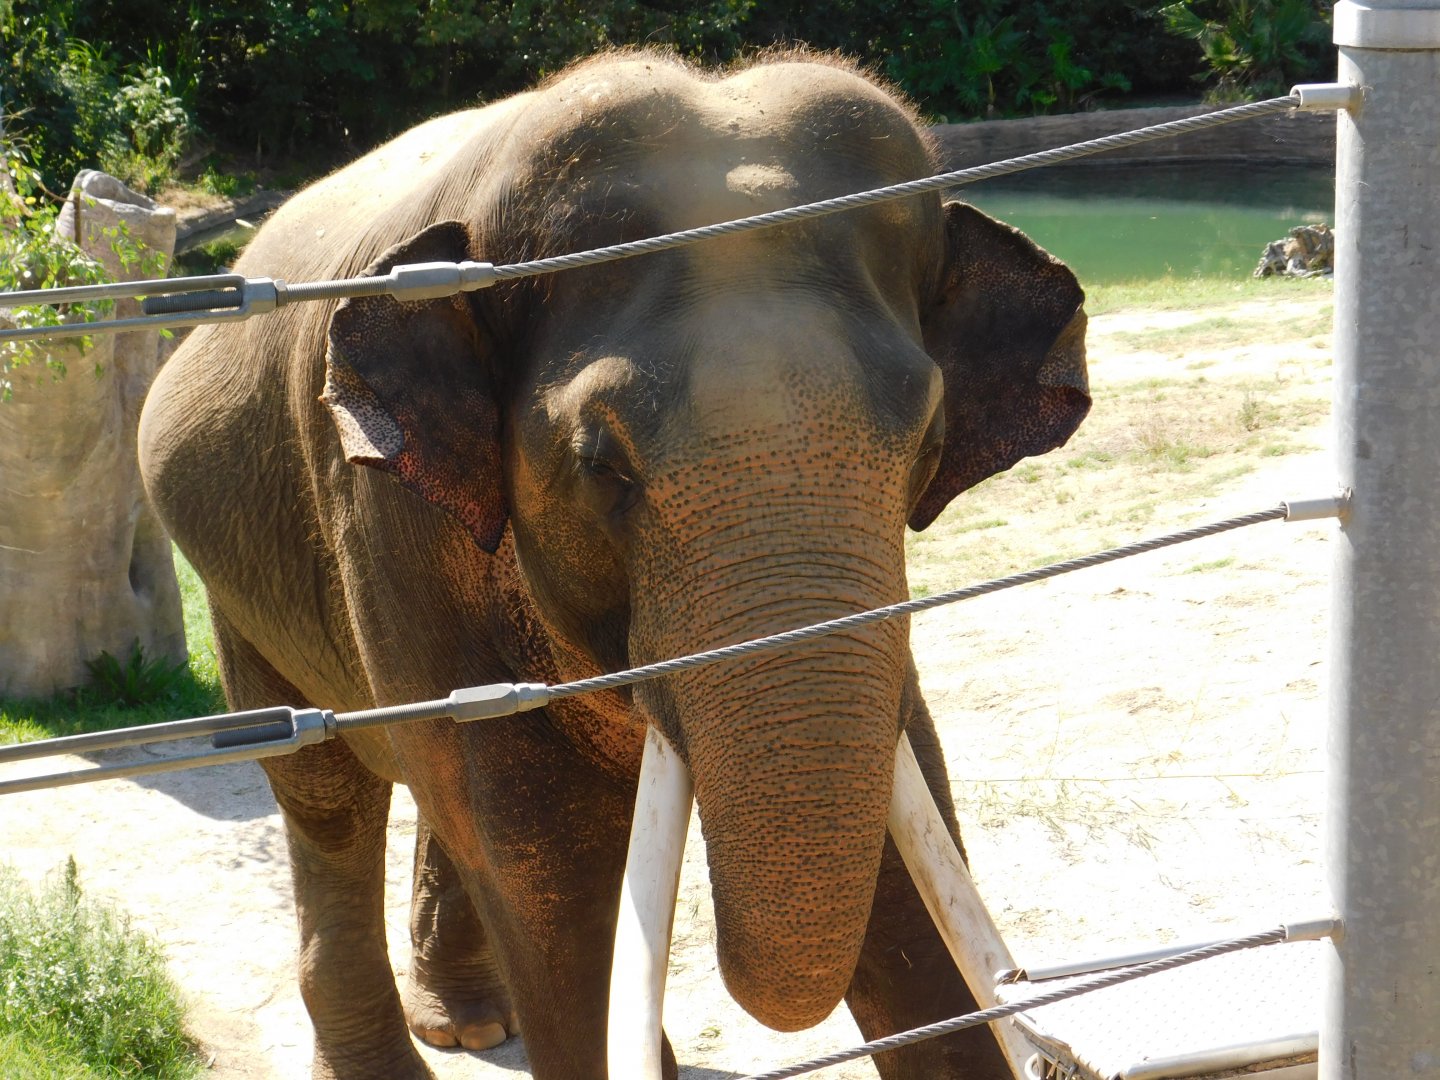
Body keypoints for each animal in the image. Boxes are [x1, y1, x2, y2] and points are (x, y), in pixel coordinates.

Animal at [138, 49, 1089, 1080]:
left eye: (928, 442)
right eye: (602, 464)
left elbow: (906, 853)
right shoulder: (389, 524)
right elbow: (539, 862)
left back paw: (473, 1025)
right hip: (242, 592)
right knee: (329, 801)